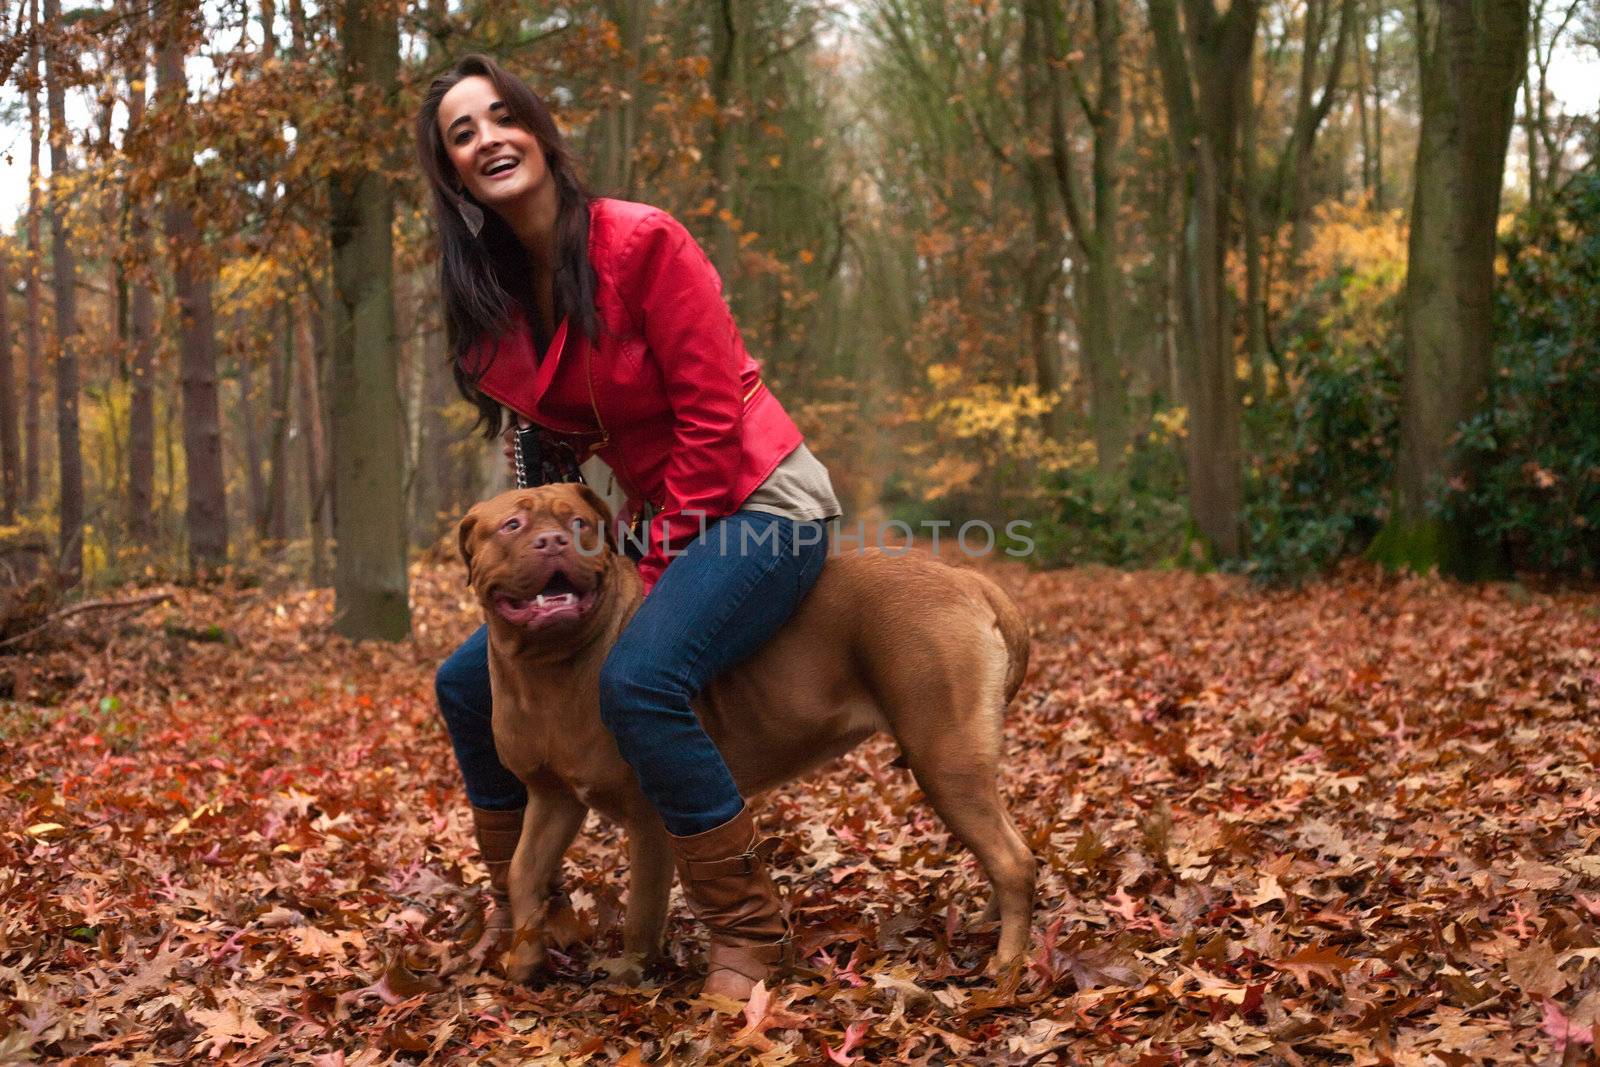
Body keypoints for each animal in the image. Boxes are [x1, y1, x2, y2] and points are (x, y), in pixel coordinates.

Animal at [460, 483, 1036, 985]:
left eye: (580, 525)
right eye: (513, 525)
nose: (554, 541)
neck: (551, 668)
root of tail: (968, 580)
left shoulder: (648, 816)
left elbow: (642, 909)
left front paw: (628, 975)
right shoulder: (552, 797)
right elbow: (523, 872)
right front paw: (525, 960)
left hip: (945, 756)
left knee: (1012, 860)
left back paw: (1006, 965)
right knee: (1011, 849)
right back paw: (989, 926)